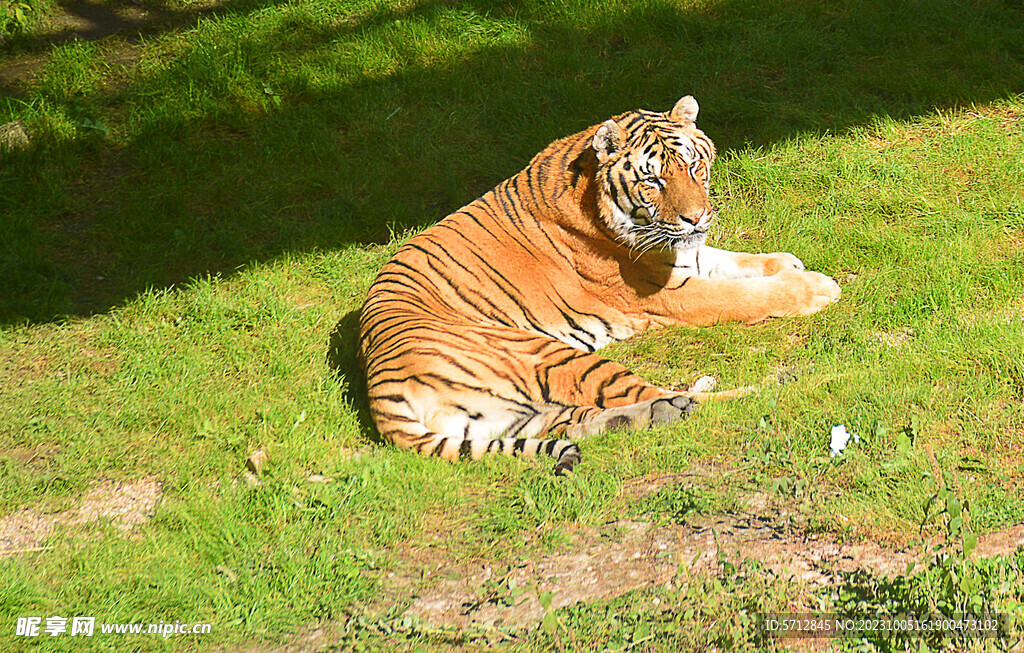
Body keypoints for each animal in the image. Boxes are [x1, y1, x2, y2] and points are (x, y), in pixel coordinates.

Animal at [360, 96, 839, 474]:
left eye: (693, 166)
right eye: (653, 180)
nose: (697, 217)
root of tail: (381, 387)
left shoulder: (680, 256)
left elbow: (729, 259)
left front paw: (787, 262)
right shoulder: (669, 292)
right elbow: (740, 294)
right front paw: (816, 287)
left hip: (518, 415)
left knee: (602, 416)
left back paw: (674, 406)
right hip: (552, 356)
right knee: (674, 398)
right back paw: (773, 384)